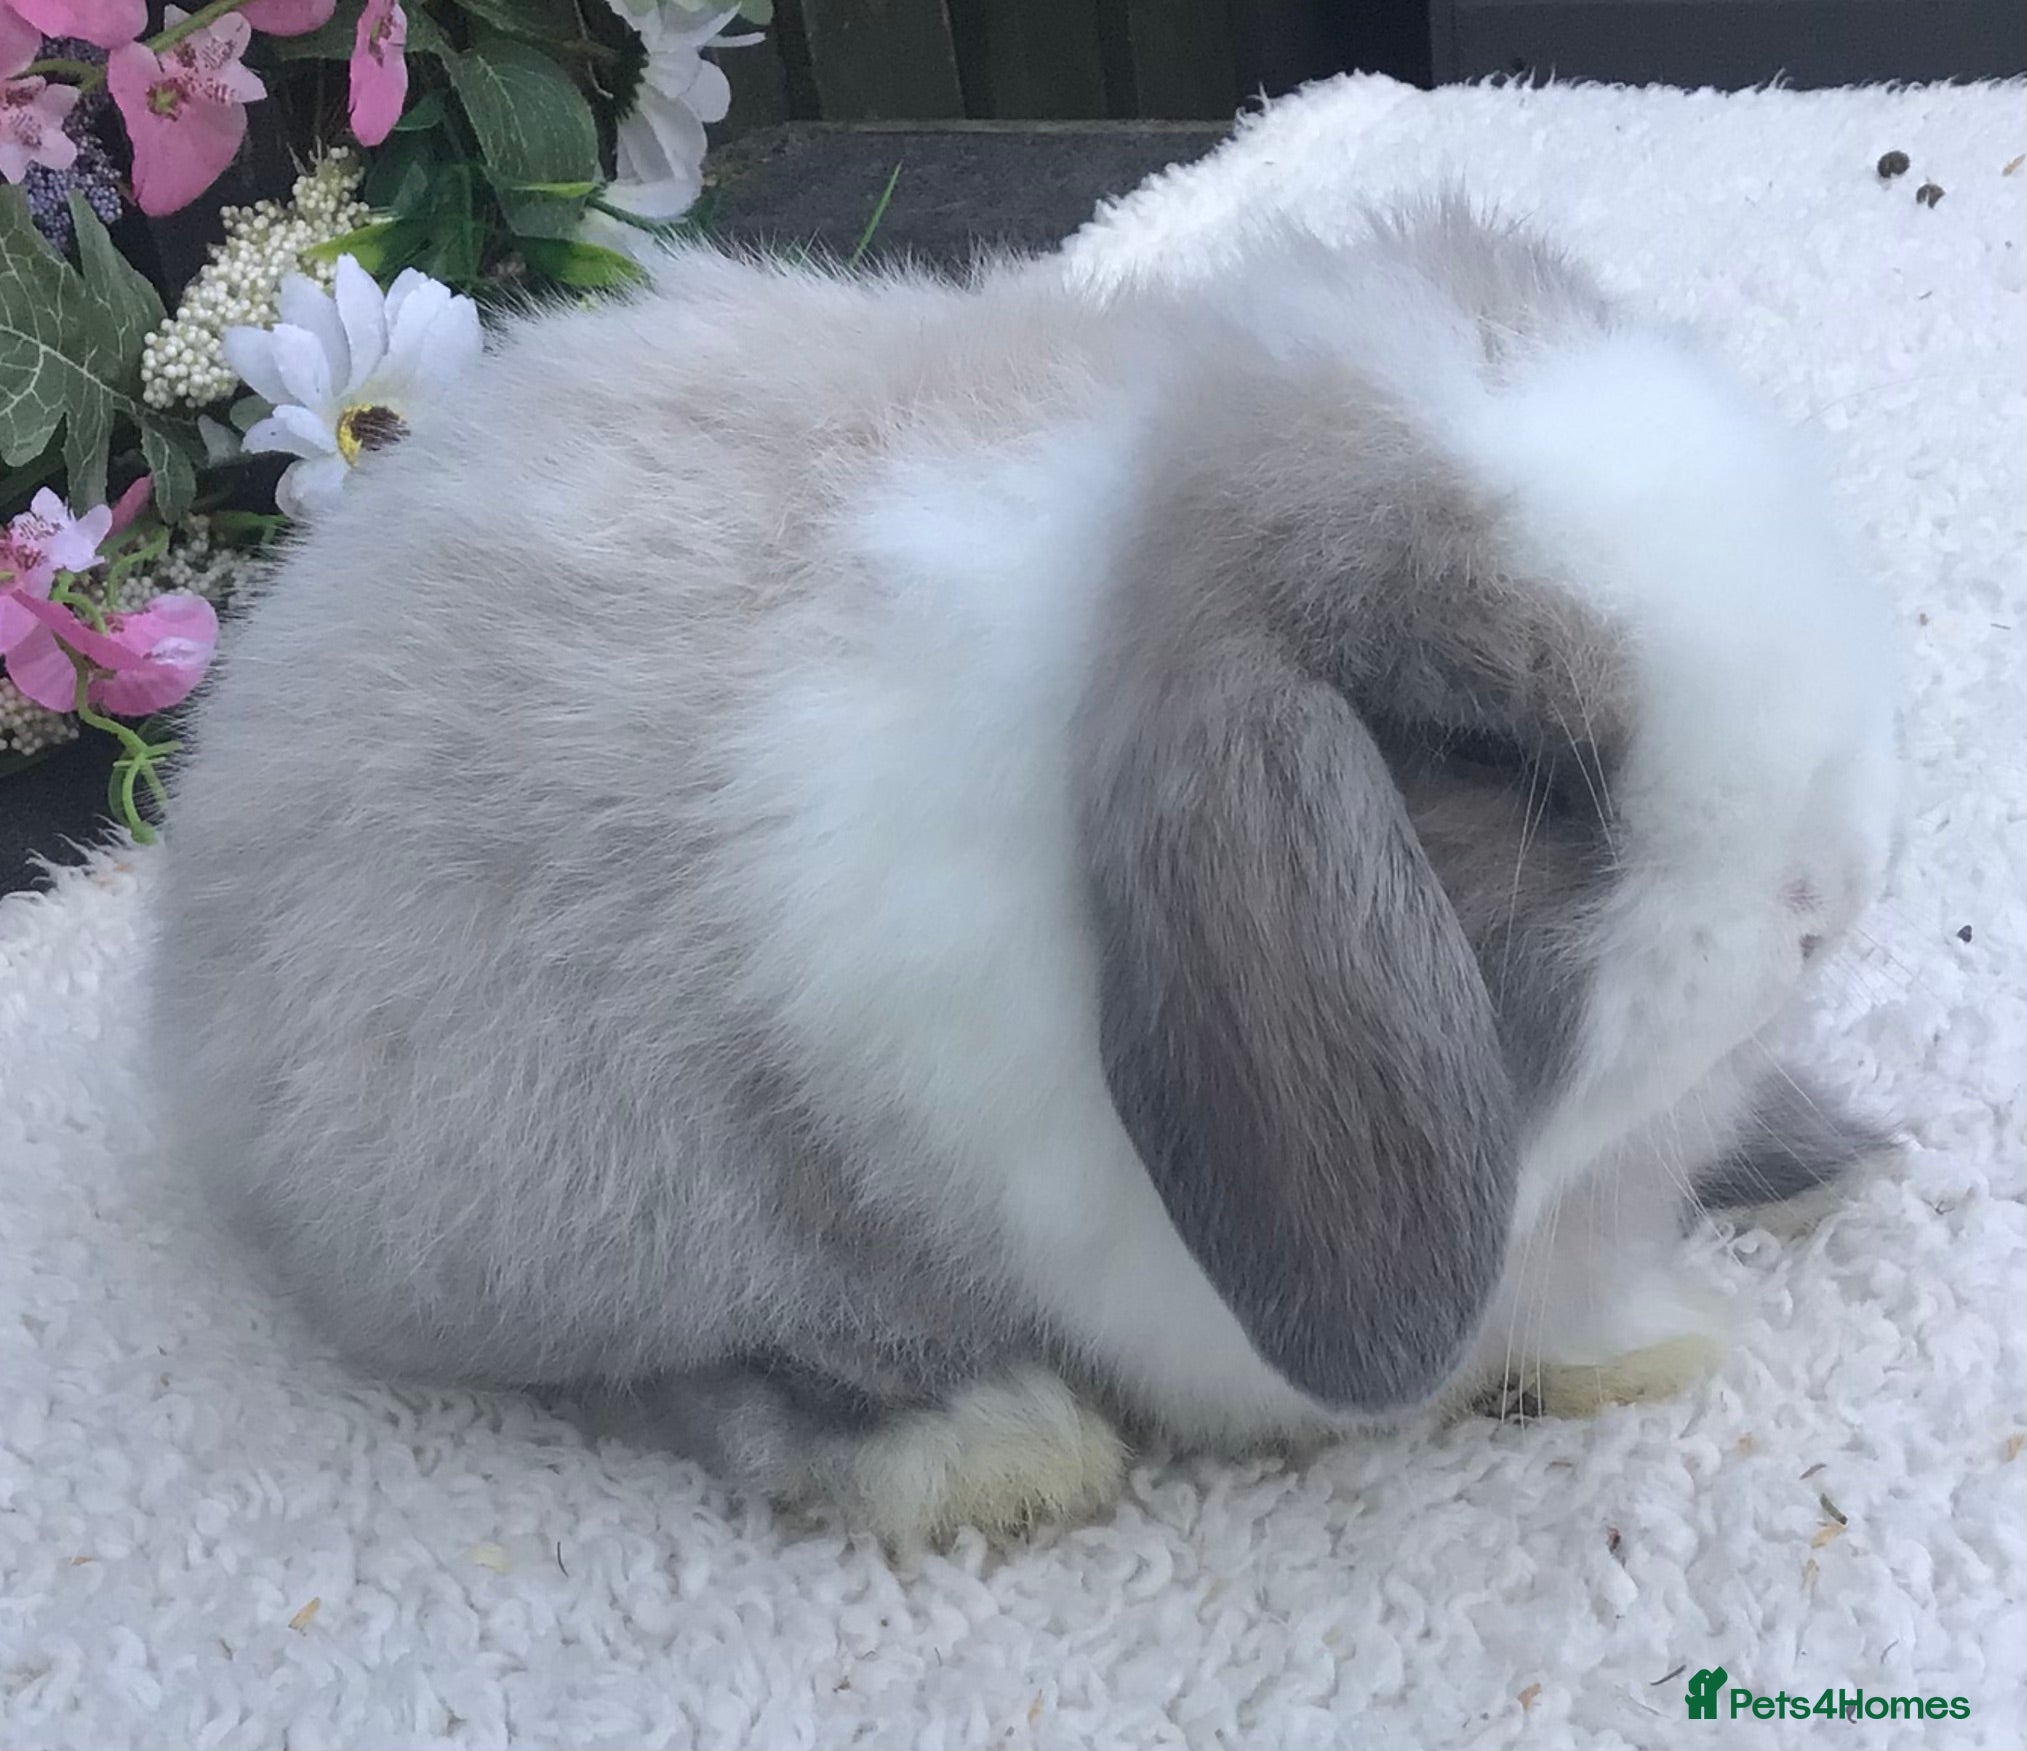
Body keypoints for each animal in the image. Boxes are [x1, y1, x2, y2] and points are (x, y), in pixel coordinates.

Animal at [149, 195, 1901, 1541]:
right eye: (1493, 755)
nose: (1823, 898)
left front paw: (1676, 1300)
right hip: (561, 1196)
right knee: (702, 1373)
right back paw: (989, 1450)